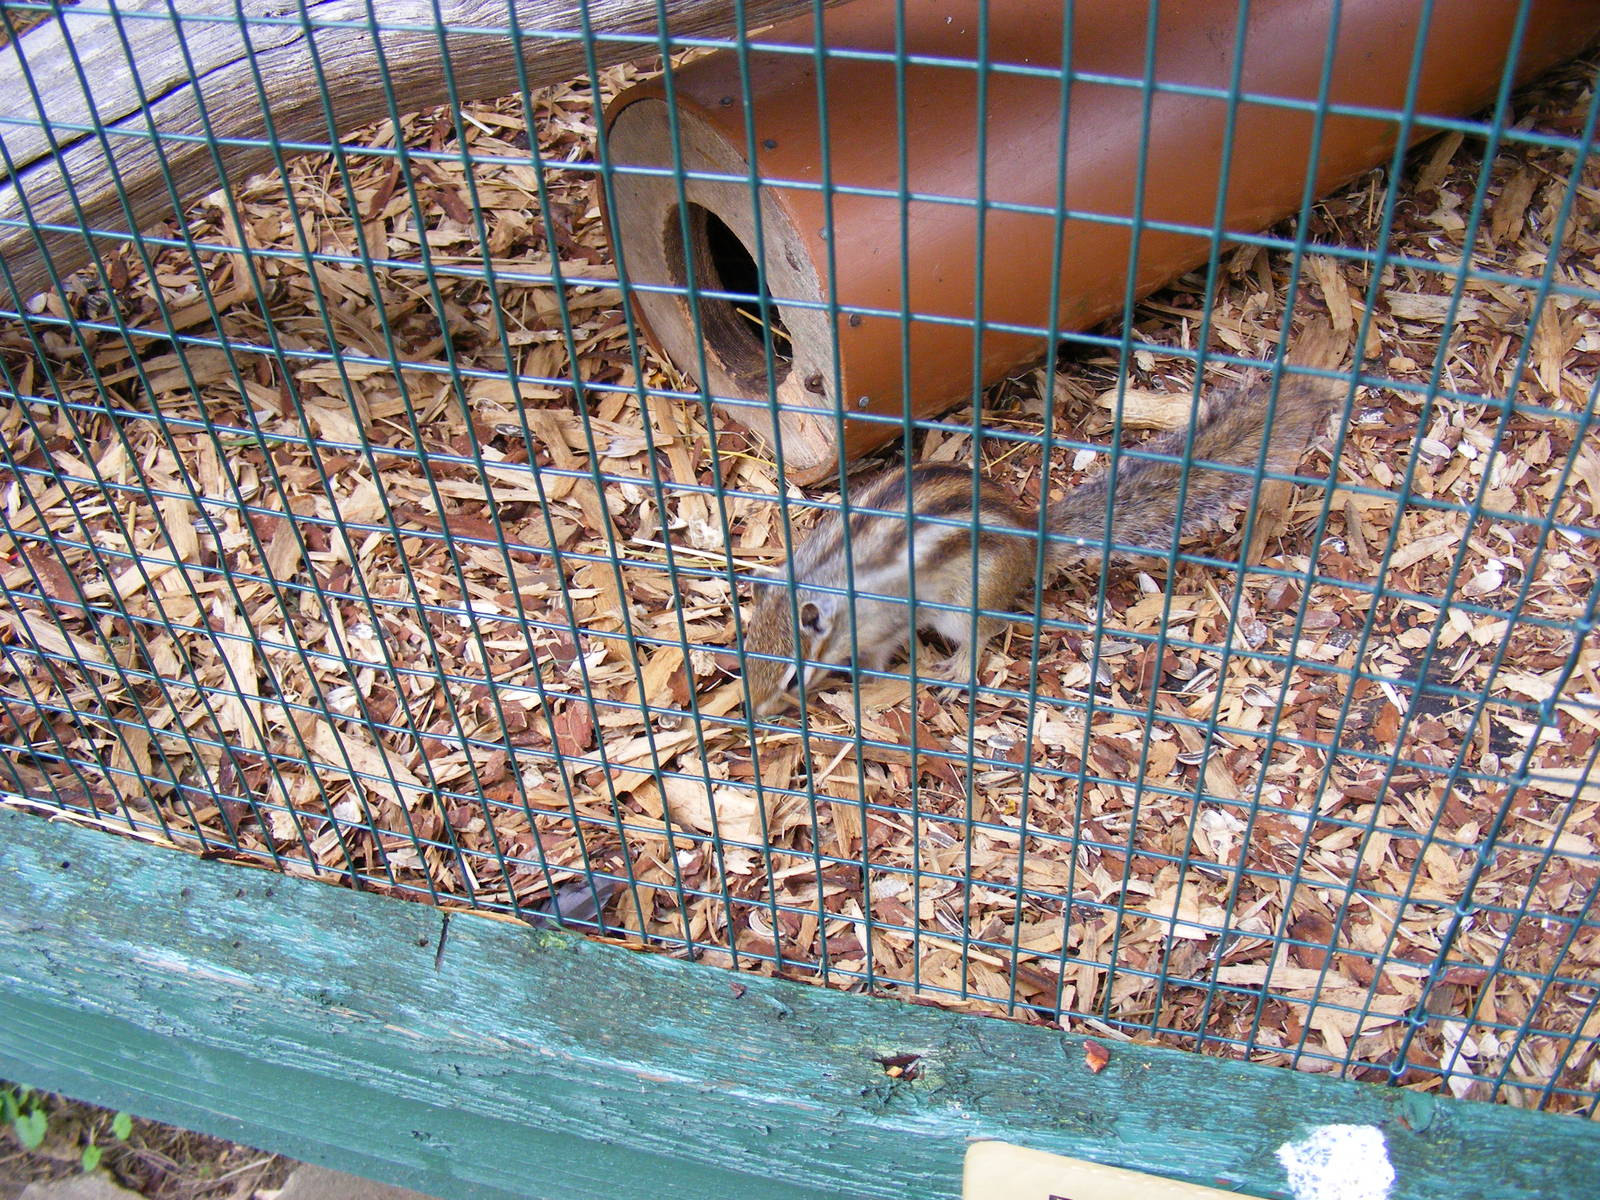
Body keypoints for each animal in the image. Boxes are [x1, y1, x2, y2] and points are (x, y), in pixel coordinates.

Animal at [743, 330, 1349, 716]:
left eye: (793, 675)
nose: (762, 710)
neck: (826, 583)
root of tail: (1030, 541)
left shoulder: (886, 622)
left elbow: (882, 653)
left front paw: (864, 680)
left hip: (964, 603)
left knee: (982, 635)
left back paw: (955, 670)